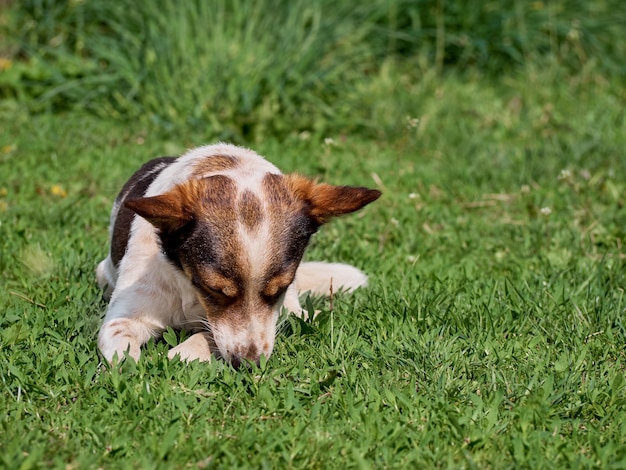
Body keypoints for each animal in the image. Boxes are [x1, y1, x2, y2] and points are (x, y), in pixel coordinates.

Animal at [96, 143, 380, 368]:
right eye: (214, 289)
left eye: (279, 289)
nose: (250, 363)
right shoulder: (127, 312)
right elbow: (120, 343)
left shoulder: (281, 310)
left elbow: (209, 336)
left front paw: (185, 351)